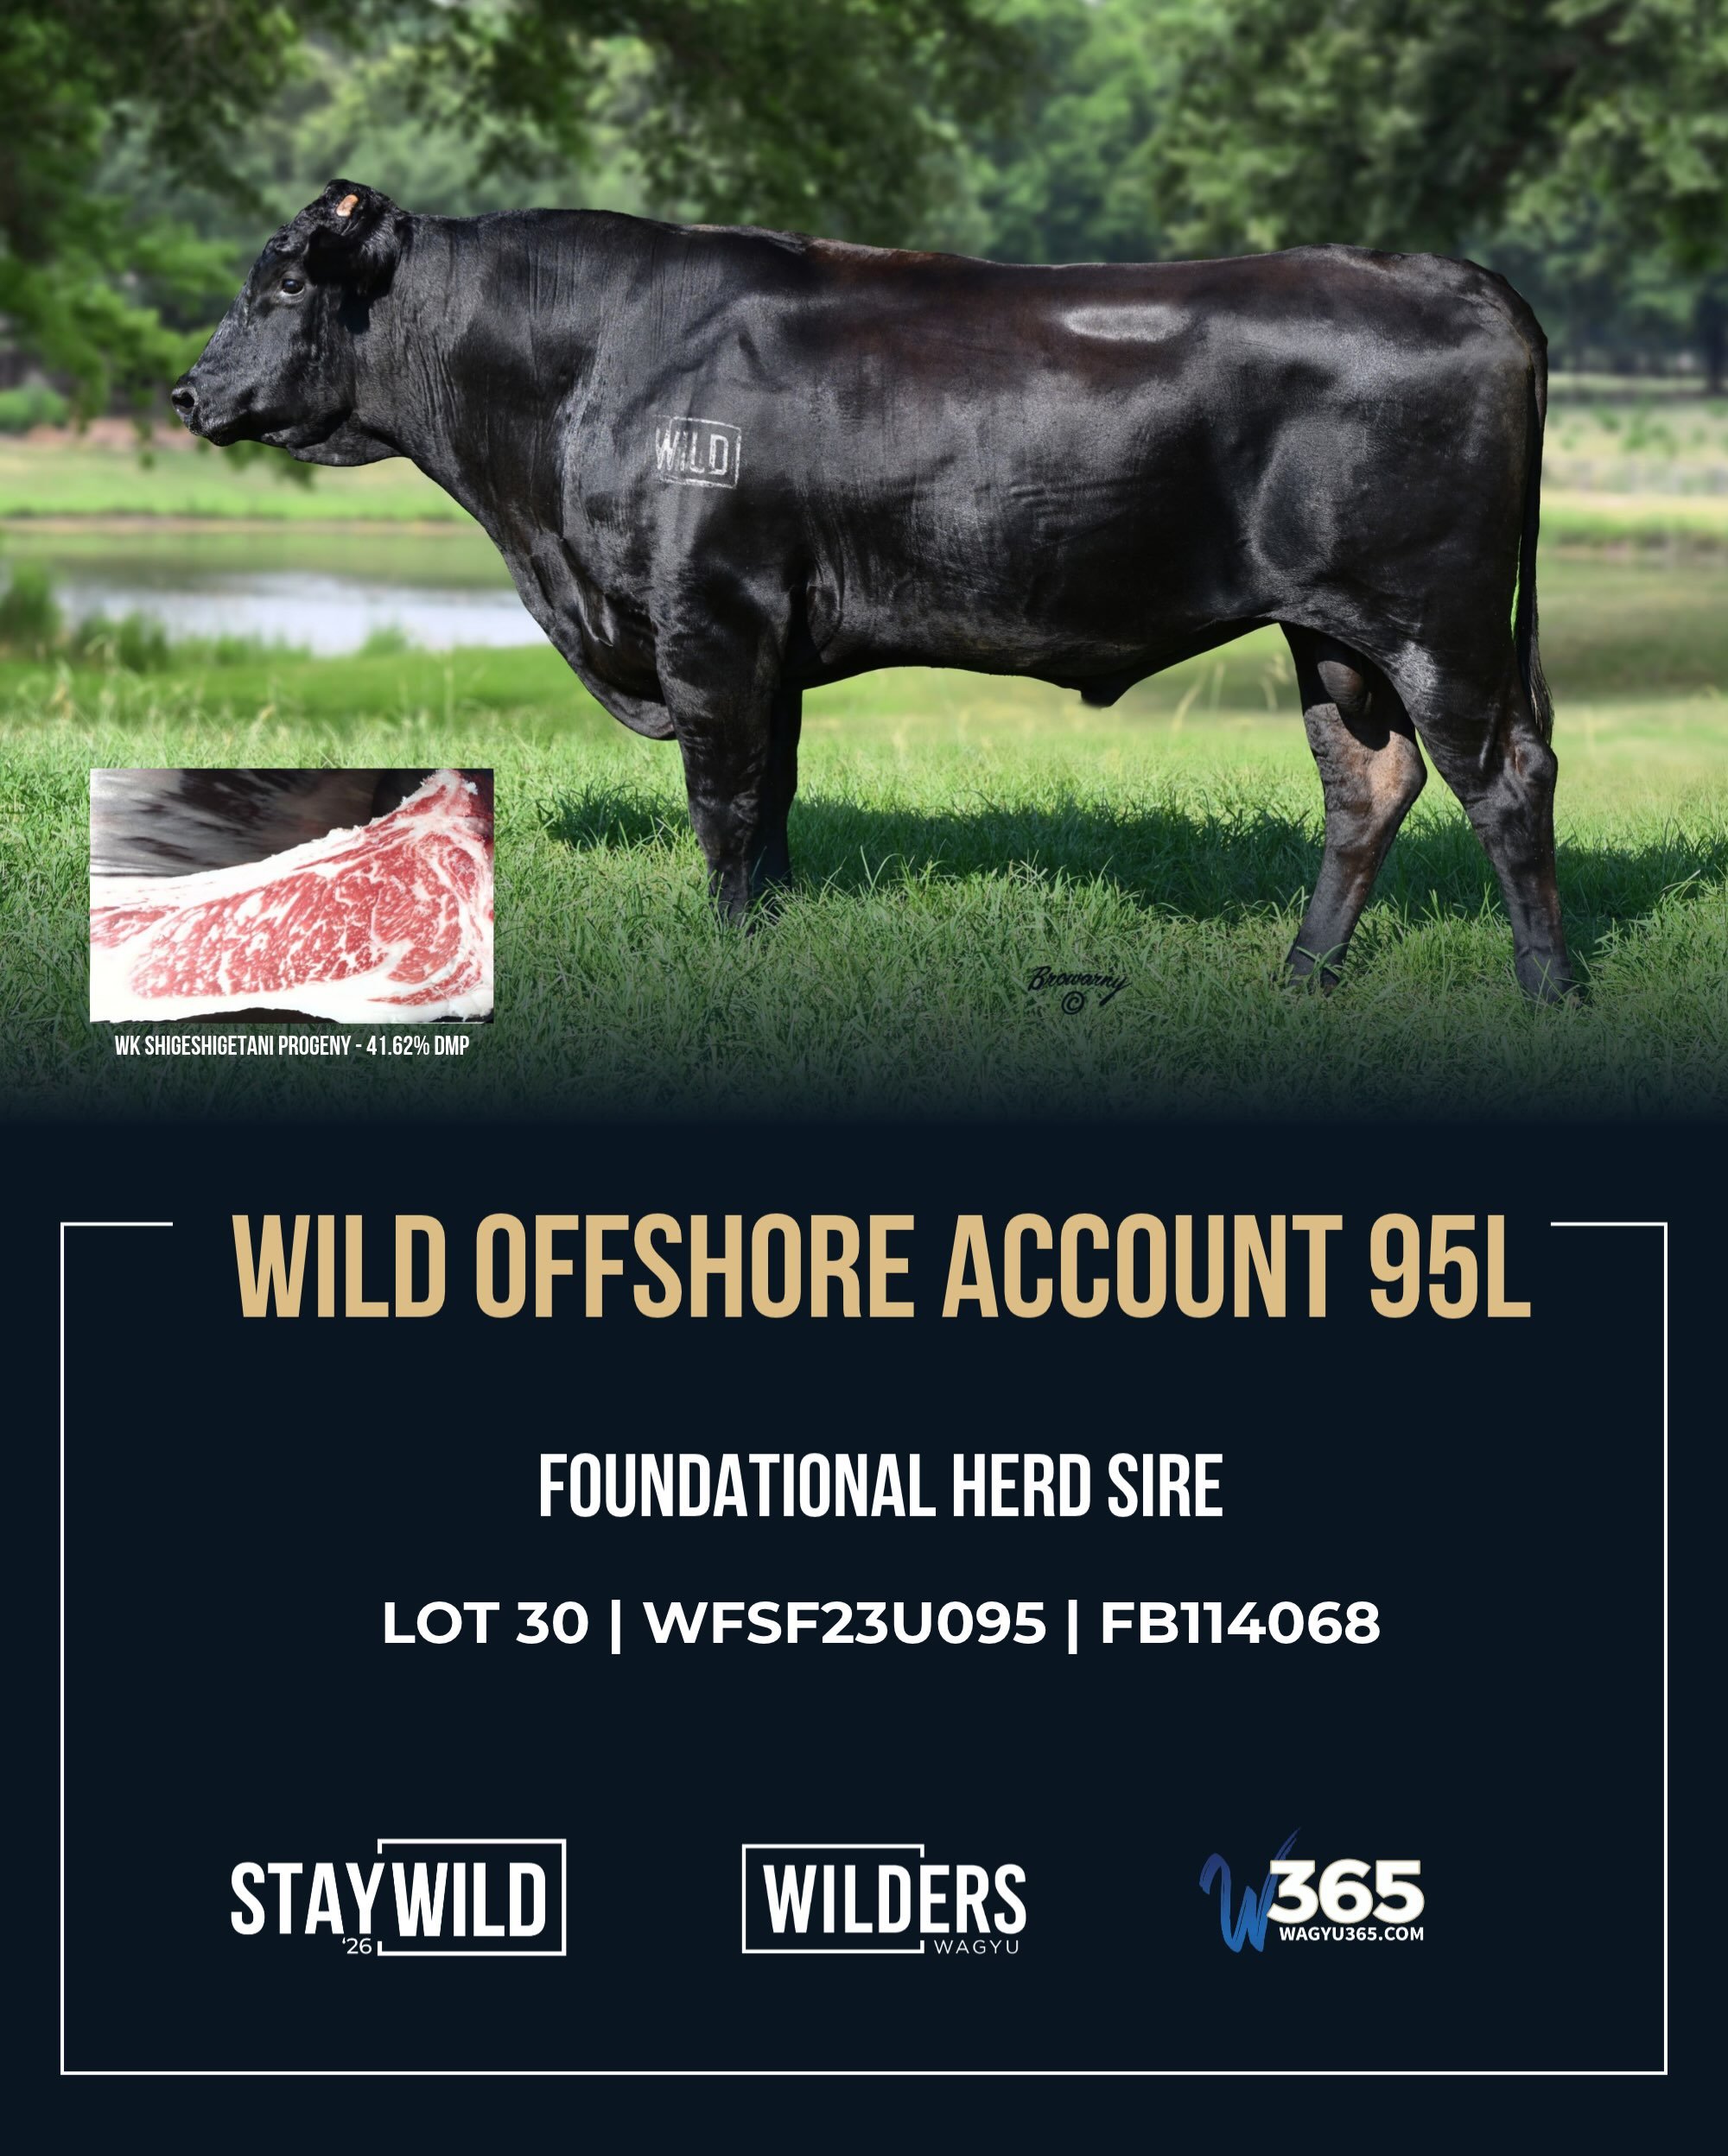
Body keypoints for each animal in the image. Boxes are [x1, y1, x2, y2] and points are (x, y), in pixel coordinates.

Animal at [173, 180, 1572, 998]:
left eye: (285, 282)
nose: (187, 394)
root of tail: (1463, 278)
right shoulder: (768, 640)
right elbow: (775, 800)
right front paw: (772, 940)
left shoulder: (710, 619)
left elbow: (726, 804)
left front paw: (729, 956)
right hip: (1333, 635)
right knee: (1368, 781)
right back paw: (1302, 976)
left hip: (1436, 622)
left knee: (1504, 776)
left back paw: (1547, 986)